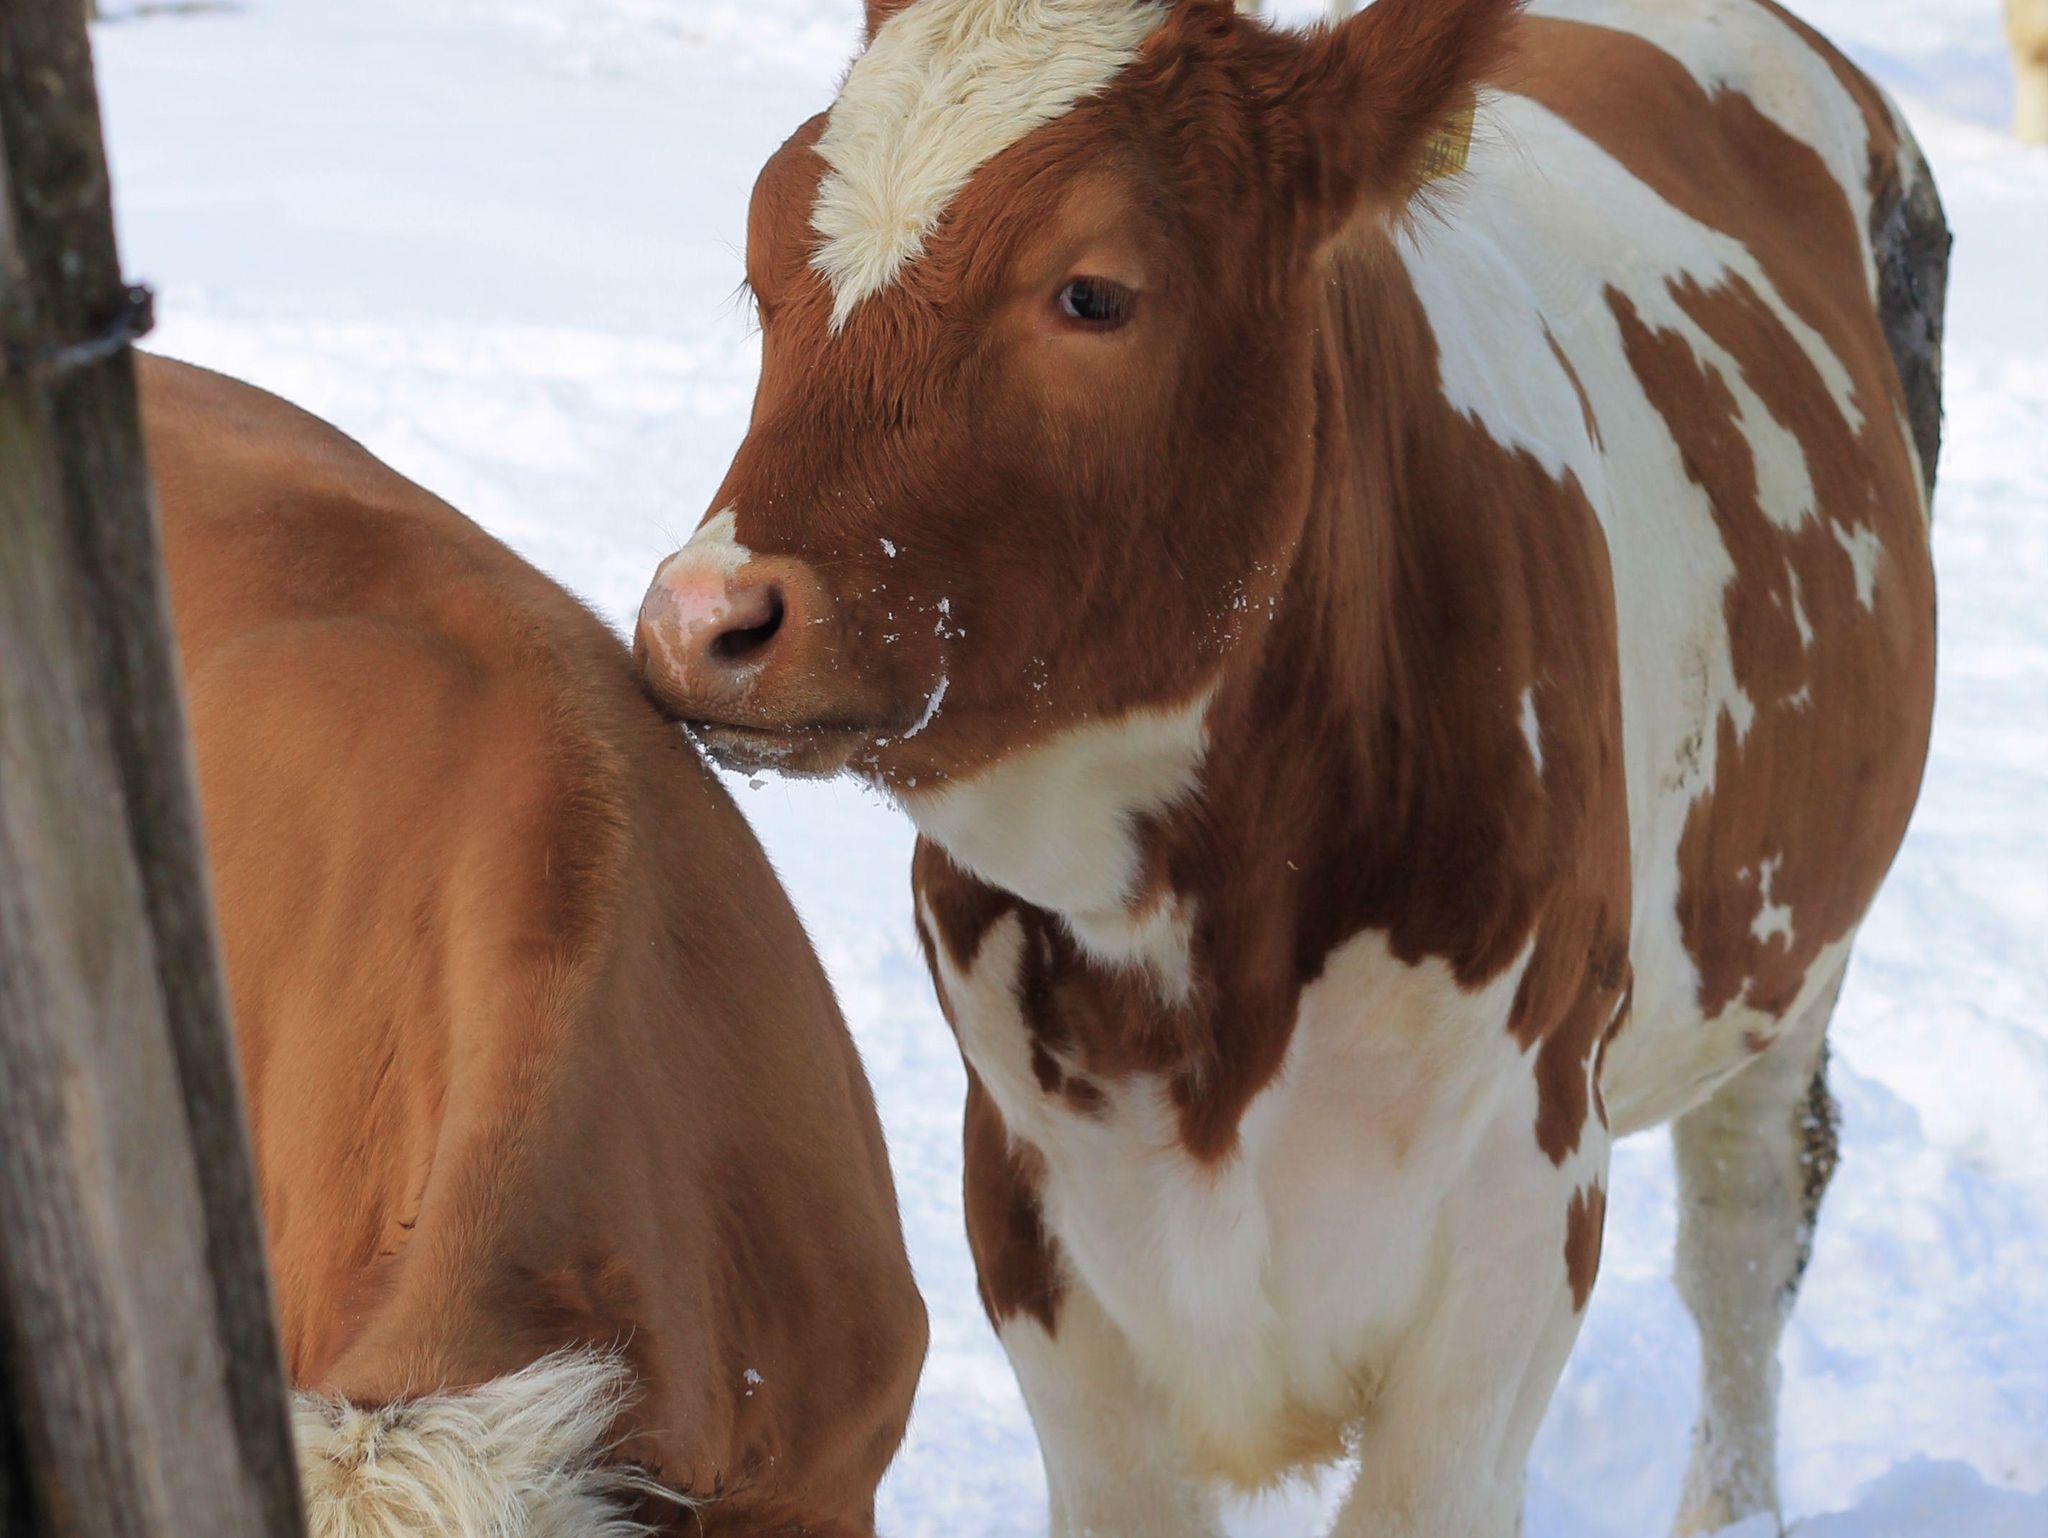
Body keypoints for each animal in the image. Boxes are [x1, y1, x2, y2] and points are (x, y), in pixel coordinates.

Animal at [631, 0, 1947, 1532]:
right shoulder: (1032, 1222)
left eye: (1092, 292)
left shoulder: (1515, 1224)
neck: (1207, 952)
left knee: (1746, 1230)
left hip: (1794, 959)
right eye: (765, 264)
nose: (703, 617)